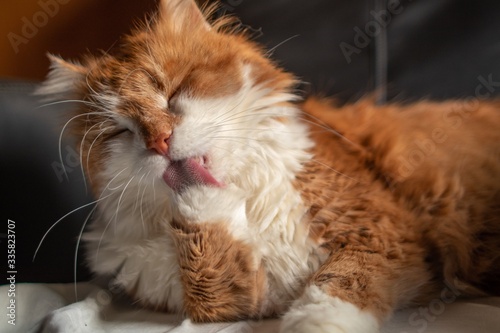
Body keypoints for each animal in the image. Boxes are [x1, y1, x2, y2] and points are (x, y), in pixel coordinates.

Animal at [38, 0, 500, 332]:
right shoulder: (242, 297)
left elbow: (335, 287)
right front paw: (199, 200)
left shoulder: (380, 233)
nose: (159, 141)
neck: (249, 205)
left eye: (173, 92)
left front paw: (313, 324)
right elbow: (207, 283)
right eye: (121, 130)